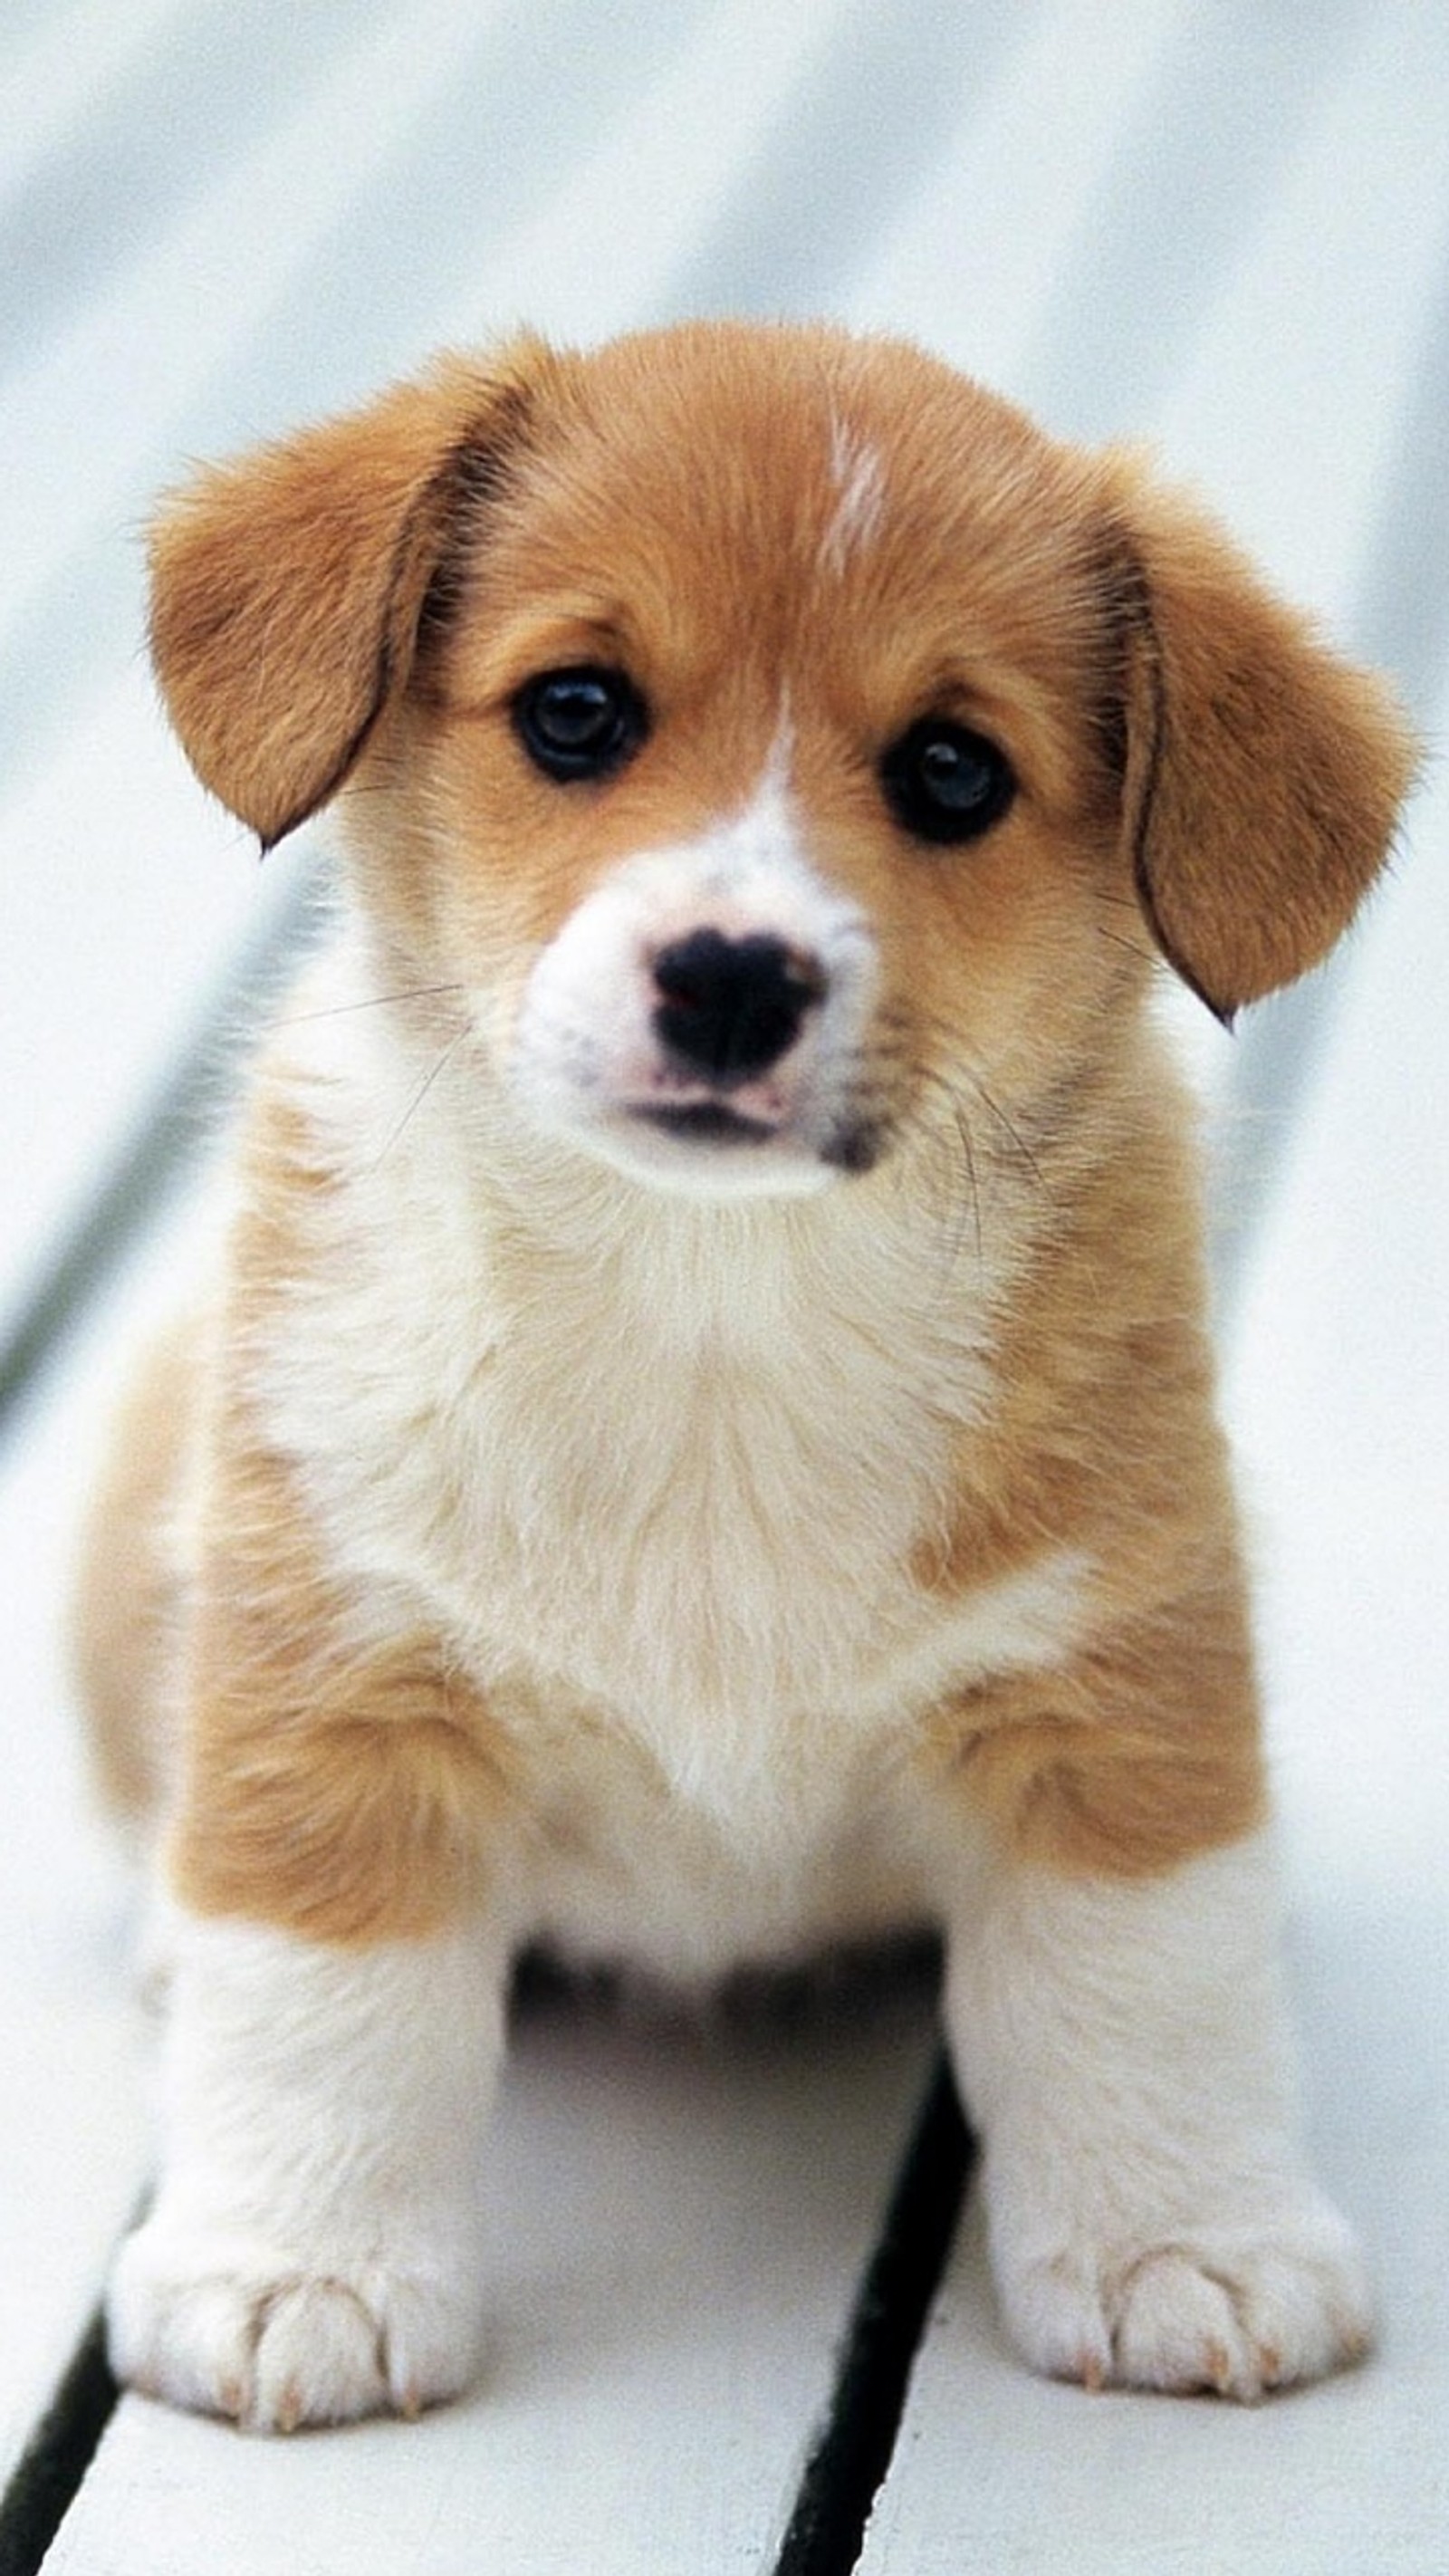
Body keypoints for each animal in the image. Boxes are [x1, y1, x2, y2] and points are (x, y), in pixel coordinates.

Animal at [76, 312, 1420, 2421]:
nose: (728, 974)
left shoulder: (1113, 1683)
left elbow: (1142, 1990)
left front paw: (1182, 2239)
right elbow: (318, 2002)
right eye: (575, 711)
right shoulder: (344, 1666)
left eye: (951, 769)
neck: (714, 1300)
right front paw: (293, 2268)